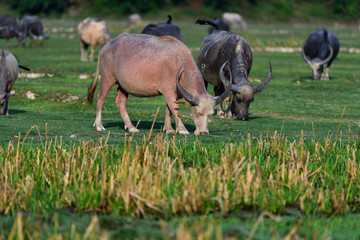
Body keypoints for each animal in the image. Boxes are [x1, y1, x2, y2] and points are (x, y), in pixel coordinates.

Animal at [88, 32, 232, 135]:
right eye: (197, 112)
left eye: (210, 114)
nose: (203, 132)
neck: (179, 63)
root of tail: (108, 45)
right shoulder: (167, 90)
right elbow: (175, 110)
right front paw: (182, 129)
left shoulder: (173, 93)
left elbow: (169, 110)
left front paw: (168, 129)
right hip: (108, 78)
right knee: (100, 97)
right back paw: (99, 125)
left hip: (122, 85)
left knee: (120, 102)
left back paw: (131, 127)